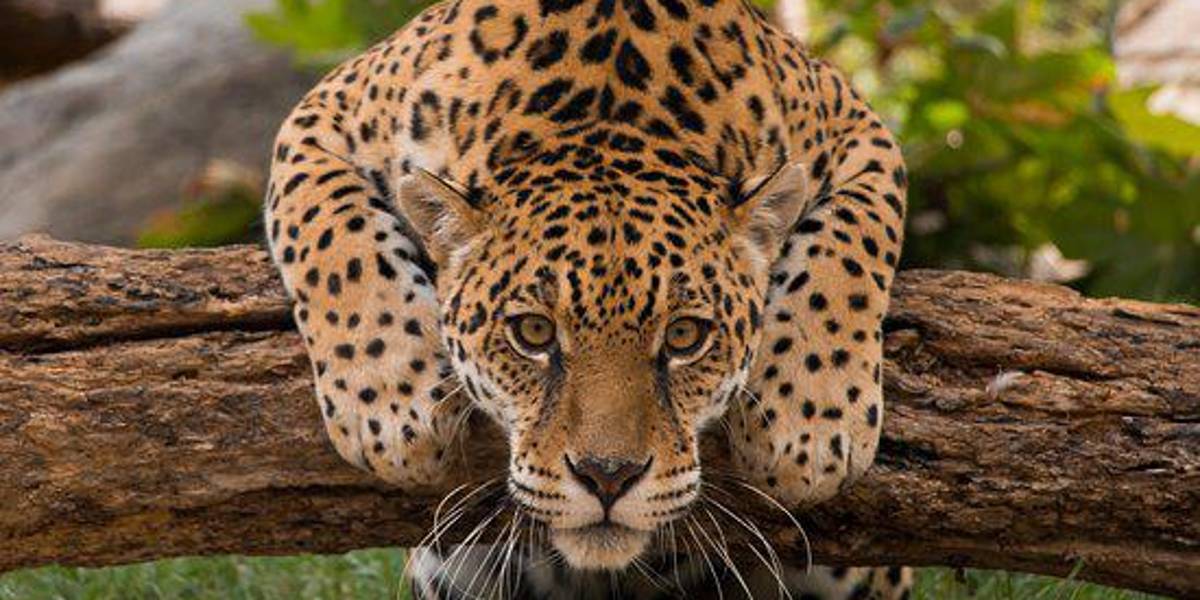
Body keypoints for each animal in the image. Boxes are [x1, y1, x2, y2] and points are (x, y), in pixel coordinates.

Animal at [264, 0, 908, 597]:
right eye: (533, 333)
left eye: (685, 336)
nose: (607, 478)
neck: (607, 106)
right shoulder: (321, 115)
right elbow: (333, 232)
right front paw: (394, 405)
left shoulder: (861, 130)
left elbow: (851, 243)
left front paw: (809, 424)